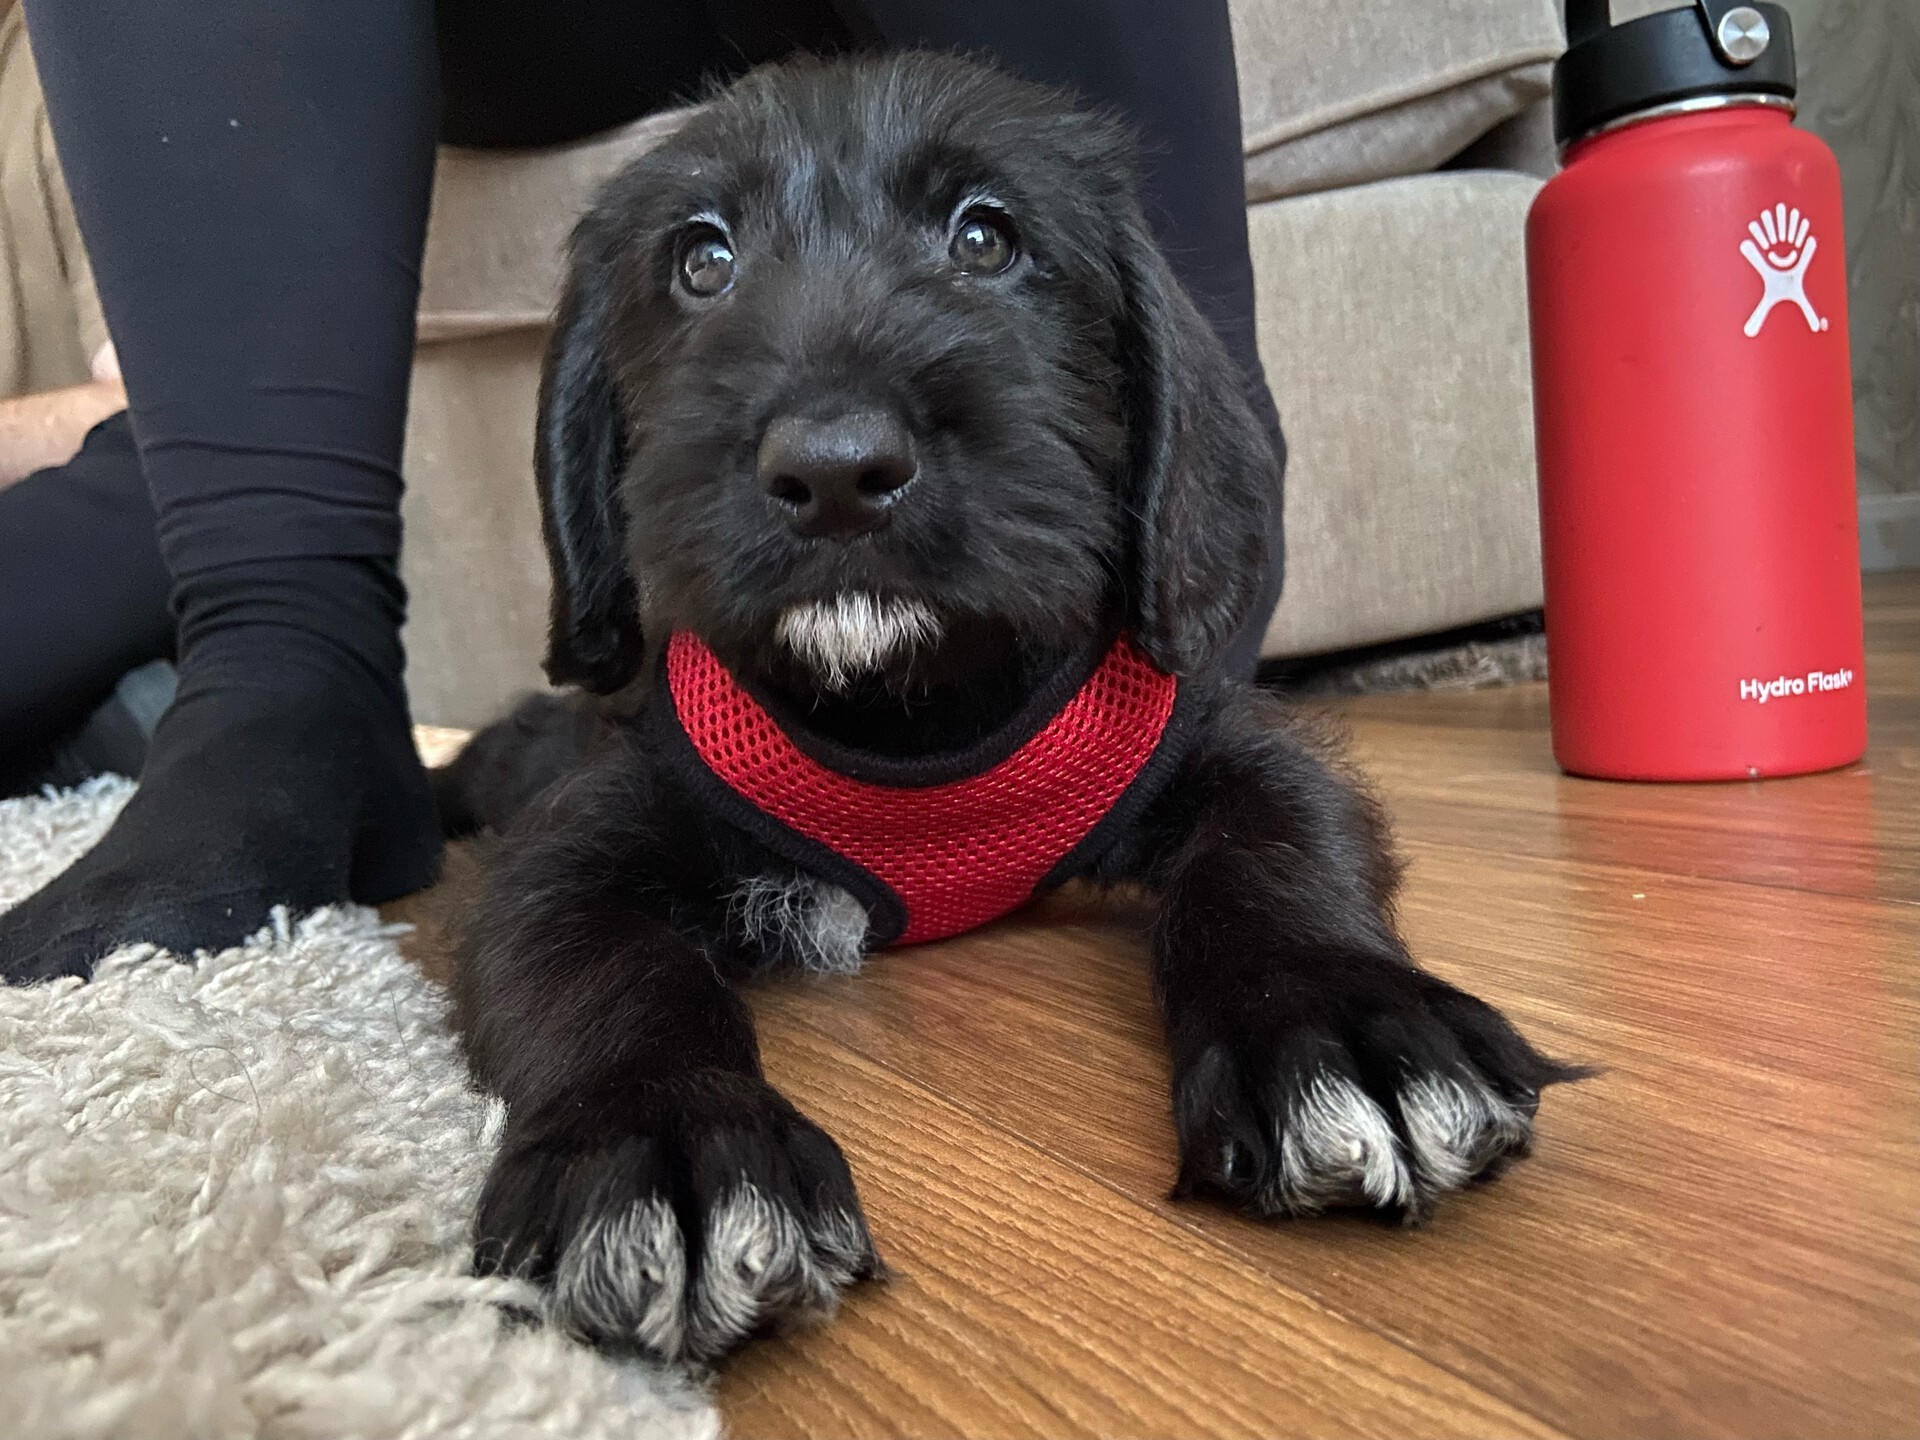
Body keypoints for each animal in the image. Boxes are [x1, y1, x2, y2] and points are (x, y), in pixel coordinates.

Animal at [449, 53, 1574, 1367]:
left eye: (986, 238)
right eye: (702, 260)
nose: (835, 467)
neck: (909, 720)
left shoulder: (1225, 751)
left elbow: (1278, 855)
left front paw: (1341, 1018)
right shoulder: (570, 843)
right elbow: (600, 963)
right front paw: (661, 1139)